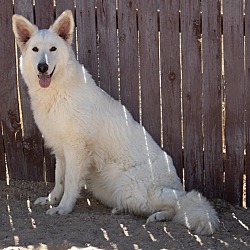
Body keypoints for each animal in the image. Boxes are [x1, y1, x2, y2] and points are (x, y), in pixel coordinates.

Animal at [12, 10, 218, 234]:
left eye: (53, 49)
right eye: (35, 49)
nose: (43, 67)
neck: (58, 91)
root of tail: (177, 184)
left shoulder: (75, 149)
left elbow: (71, 182)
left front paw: (64, 207)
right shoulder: (60, 148)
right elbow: (59, 179)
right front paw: (52, 199)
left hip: (130, 186)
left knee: (178, 204)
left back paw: (157, 215)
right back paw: (124, 210)